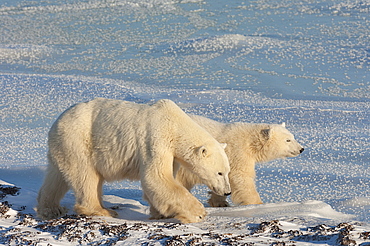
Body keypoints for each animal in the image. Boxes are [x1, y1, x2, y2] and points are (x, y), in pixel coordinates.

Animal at [36, 98, 230, 223]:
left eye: (227, 171)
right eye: (219, 172)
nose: (227, 192)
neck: (174, 125)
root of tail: (57, 122)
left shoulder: (172, 153)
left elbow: (165, 179)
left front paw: (160, 213)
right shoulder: (156, 139)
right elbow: (157, 177)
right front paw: (198, 213)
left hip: (63, 146)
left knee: (57, 176)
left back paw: (50, 209)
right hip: (79, 140)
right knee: (86, 176)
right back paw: (101, 210)